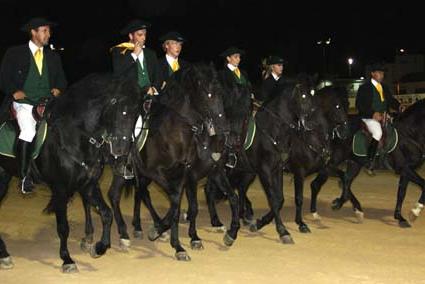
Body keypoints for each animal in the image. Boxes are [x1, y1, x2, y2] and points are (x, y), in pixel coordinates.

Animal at [0, 74, 142, 272]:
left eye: (137, 112)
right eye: (117, 106)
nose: (121, 149)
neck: (75, 136)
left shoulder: (89, 185)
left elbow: (106, 214)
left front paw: (99, 247)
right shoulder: (60, 190)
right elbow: (63, 227)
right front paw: (67, 259)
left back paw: (4, 255)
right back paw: (4, 255)